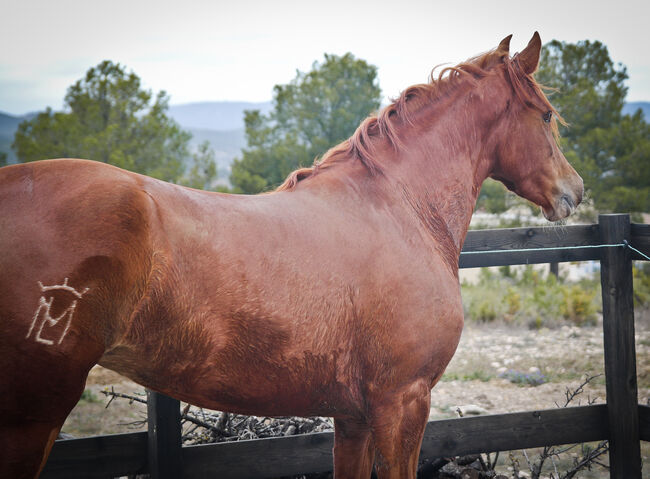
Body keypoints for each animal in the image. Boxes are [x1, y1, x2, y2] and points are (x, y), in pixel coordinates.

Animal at [0, 31, 576, 478]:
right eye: (547, 115)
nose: (574, 190)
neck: (399, 207)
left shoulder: (354, 416)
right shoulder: (403, 403)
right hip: (33, 418)